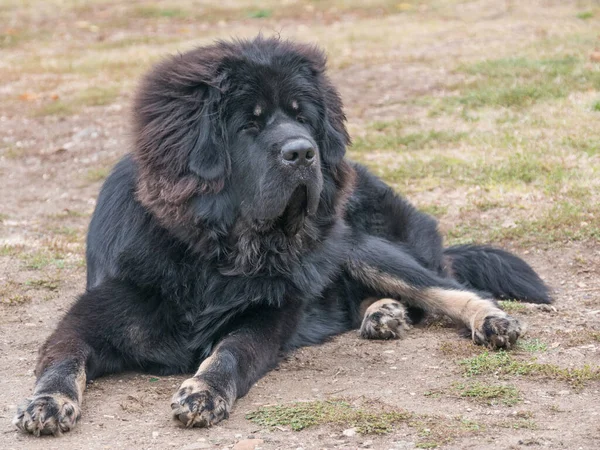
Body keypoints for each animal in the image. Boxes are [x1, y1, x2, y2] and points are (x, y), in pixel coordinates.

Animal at [14, 36, 552, 436]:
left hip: (358, 245)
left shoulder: (267, 317)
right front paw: (48, 403)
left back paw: (489, 321)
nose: (303, 152)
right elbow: (63, 359)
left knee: (448, 288)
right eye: (248, 124)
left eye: (301, 116)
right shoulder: (91, 317)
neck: (217, 254)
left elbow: (230, 351)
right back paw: (382, 313)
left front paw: (203, 391)